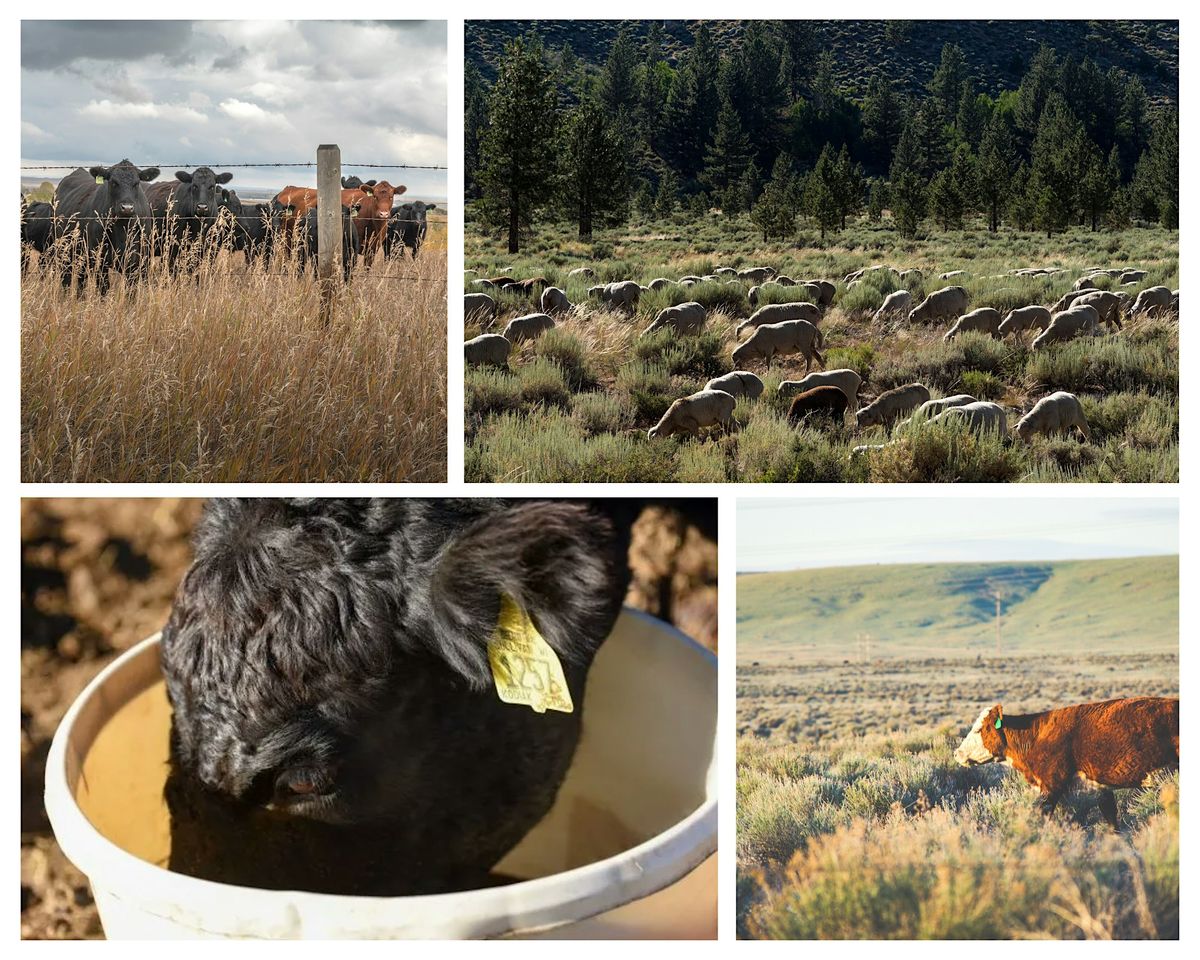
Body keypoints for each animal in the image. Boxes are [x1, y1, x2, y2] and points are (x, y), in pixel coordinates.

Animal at [52, 160, 160, 292]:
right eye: (113, 182)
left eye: (137, 183)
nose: (127, 208)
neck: (122, 230)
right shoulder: (100, 261)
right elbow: (104, 288)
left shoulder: (140, 262)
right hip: (64, 251)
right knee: (66, 278)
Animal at [954, 697, 1179, 829]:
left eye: (979, 729)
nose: (957, 753)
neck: (1036, 736)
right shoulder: (1100, 788)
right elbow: (1111, 819)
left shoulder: (1052, 785)